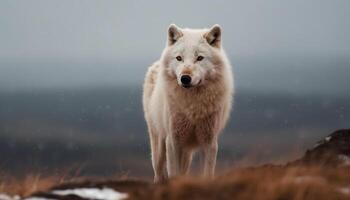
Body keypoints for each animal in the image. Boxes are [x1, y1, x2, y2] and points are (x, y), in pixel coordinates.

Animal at [142, 24, 235, 182]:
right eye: (179, 58)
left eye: (199, 58)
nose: (185, 78)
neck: (193, 107)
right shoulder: (173, 141)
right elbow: (174, 173)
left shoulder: (209, 142)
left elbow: (207, 174)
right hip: (159, 144)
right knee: (159, 172)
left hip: (187, 152)